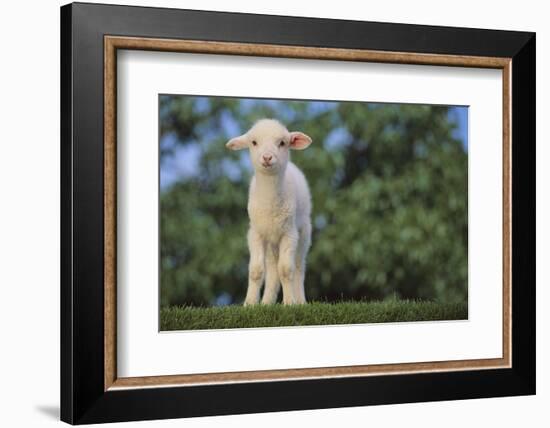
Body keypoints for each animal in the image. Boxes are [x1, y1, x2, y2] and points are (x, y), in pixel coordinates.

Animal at [227, 118, 314, 304]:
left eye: (282, 143)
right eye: (253, 142)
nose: (267, 157)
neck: (270, 205)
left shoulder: (289, 233)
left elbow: (286, 269)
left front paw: (289, 303)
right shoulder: (256, 233)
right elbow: (256, 270)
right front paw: (250, 304)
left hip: (304, 232)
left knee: (298, 266)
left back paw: (300, 300)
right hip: (271, 240)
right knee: (272, 269)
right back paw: (267, 302)